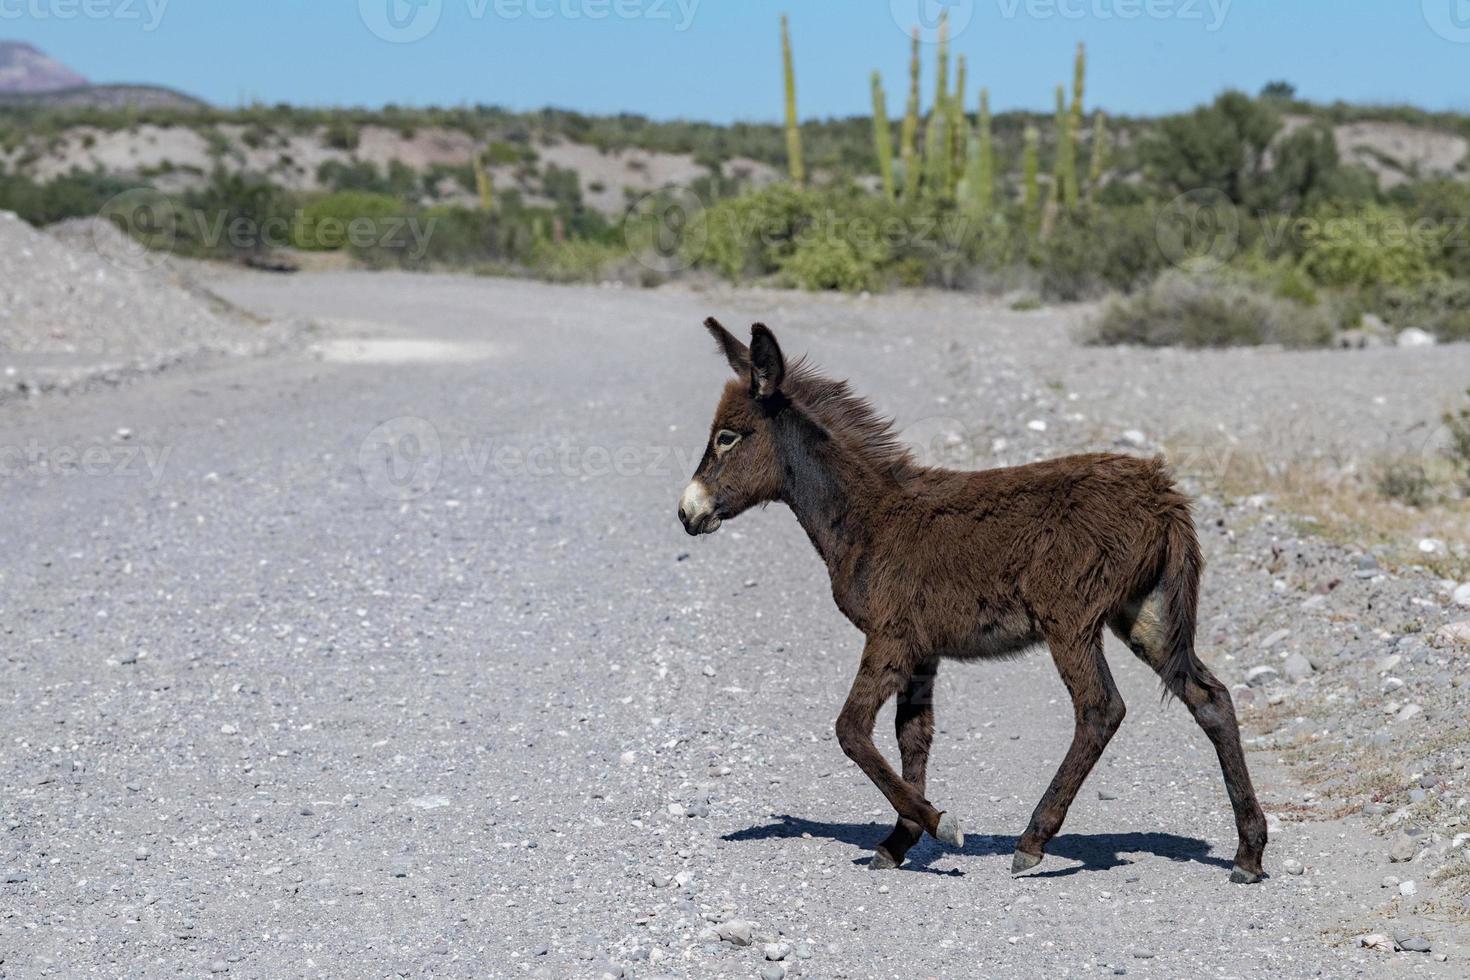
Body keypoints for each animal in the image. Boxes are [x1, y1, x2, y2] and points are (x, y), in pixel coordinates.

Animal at [682, 320, 1270, 881]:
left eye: (728, 437)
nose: (687, 512)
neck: (866, 516)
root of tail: (1163, 495)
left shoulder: (890, 637)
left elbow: (851, 730)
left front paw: (940, 824)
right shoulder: (921, 651)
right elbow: (912, 737)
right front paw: (900, 839)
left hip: (1071, 619)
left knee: (1101, 708)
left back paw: (1033, 841)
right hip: (1144, 613)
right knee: (1210, 699)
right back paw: (1248, 853)